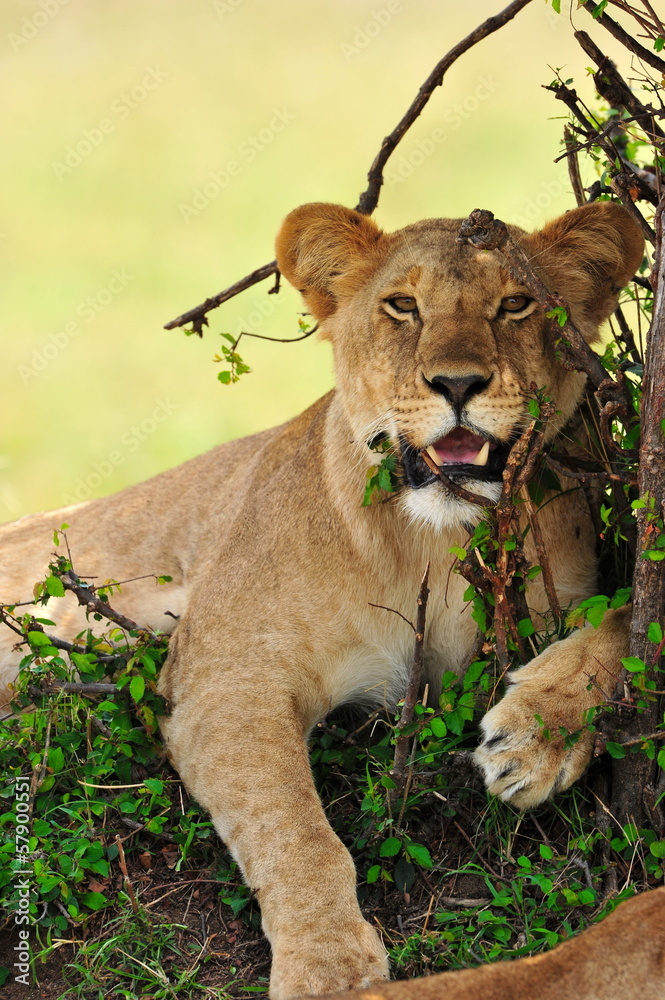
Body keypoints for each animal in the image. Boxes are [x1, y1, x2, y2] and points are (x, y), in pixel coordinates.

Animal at [0, 201, 645, 998]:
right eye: (402, 306)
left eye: (515, 304)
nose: (457, 384)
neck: (433, 541)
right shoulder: (225, 673)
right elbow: (293, 827)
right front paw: (327, 966)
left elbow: (627, 620)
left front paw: (533, 737)